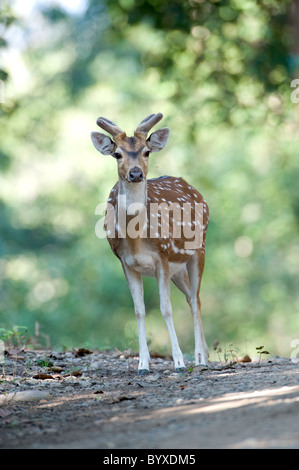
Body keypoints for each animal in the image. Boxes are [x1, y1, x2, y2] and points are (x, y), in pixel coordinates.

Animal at [90, 113, 210, 374]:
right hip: (178, 268)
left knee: (196, 301)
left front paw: (178, 362)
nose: (135, 173)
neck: (137, 240)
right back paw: (205, 354)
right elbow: (139, 310)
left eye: (146, 152)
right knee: (190, 298)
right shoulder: (126, 262)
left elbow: (166, 308)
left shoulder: (162, 257)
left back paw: (199, 358)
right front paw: (143, 364)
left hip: (199, 249)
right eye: (117, 154)